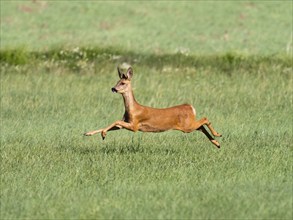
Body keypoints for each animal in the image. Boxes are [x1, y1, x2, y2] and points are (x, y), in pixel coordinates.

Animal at [83, 65, 220, 148]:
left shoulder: (134, 125)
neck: (133, 109)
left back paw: (218, 135)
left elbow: (115, 121)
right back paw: (217, 143)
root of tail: (191, 107)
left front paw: (103, 134)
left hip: (187, 126)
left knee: (205, 119)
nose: (113, 88)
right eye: (117, 82)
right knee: (201, 126)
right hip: (189, 125)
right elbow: (113, 124)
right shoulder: (126, 122)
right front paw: (88, 133)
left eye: (122, 83)